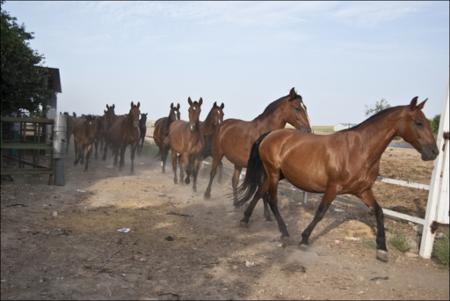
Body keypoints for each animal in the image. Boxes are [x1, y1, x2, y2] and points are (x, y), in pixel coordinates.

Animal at [203, 86, 310, 218]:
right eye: (297, 108)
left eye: (305, 107)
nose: (308, 130)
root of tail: (222, 125)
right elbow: (261, 189)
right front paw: (267, 214)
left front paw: (266, 213)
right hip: (217, 154)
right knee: (213, 173)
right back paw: (207, 195)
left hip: (237, 163)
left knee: (234, 181)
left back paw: (236, 203)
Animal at [237, 97, 438, 262]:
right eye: (419, 123)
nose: (434, 152)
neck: (359, 150)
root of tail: (270, 135)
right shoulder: (333, 187)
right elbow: (320, 212)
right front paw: (304, 238)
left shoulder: (363, 190)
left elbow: (379, 212)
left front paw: (382, 249)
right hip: (273, 174)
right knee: (271, 199)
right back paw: (285, 232)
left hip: (278, 175)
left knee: (259, 192)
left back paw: (245, 219)